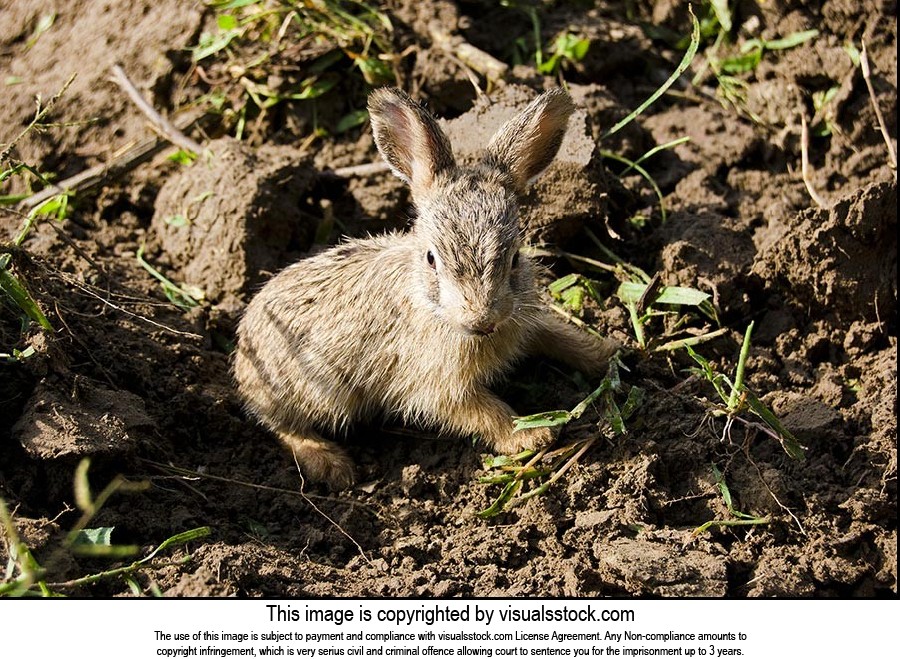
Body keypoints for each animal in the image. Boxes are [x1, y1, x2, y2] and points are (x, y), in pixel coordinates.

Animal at [234, 86, 620, 490]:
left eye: (515, 258)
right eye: (432, 259)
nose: (482, 319)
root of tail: (242, 357)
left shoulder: (525, 320)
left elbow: (558, 336)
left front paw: (607, 353)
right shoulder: (436, 385)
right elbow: (482, 410)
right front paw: (529, 435)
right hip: (317, 390)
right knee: (281, 425)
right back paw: (330, 464)